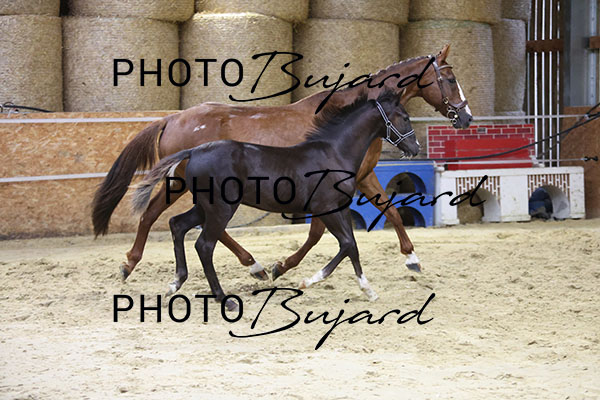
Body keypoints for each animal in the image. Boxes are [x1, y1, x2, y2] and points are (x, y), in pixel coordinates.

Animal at [92, 44, 472, 282]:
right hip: (187, 185)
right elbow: (318, 233)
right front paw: (283, 267)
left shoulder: (364, 178)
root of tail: (172, 119)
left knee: (175, 220)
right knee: (172, 219)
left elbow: (391, 212)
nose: (466, 117)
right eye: (450, 79)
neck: (346, 121)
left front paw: (412, 258)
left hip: (186, 185)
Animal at [131, 89, 418, 309]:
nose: (415, 148)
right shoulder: (326, 208)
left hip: (204, 207)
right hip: (221, 208)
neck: (334, 152)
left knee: (177, 225)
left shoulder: (340, 208)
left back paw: (175, 283)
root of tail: (193, 152)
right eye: (404, 117)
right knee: (204, 245)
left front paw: (368, 290)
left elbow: (352, 247)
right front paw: (306, 280)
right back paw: (225, 298)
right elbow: (346, 244)